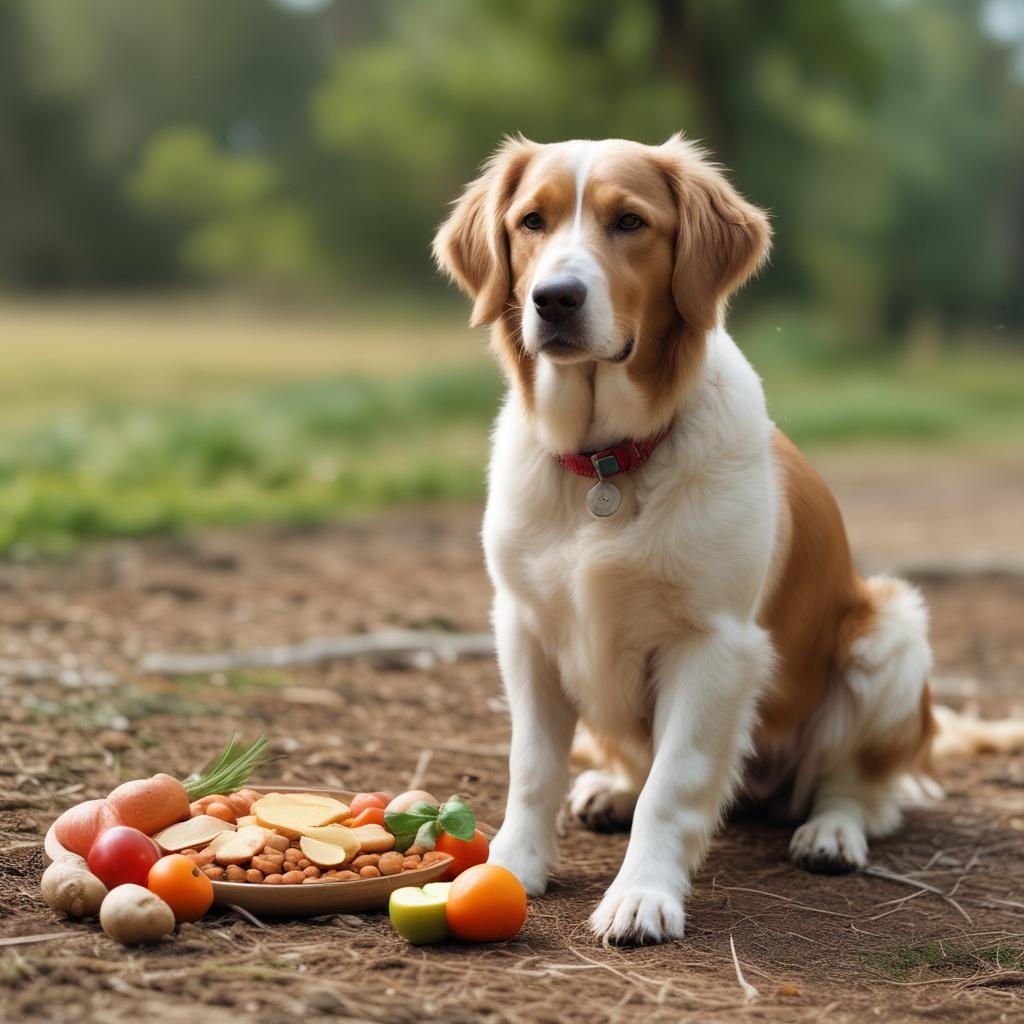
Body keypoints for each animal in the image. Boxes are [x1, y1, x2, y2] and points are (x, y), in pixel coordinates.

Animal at [428, 134, 937, 942]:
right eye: (531, 220)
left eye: (630, 222)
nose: (555, 298)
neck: (605, 461)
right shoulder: (524, 627)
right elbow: (532, 768)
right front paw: (512, 865)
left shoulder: (715, 645)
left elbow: (675, 783)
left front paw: (642, 895)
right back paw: (609, 789)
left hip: (891, 630)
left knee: (857, 785)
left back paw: (831, 831)